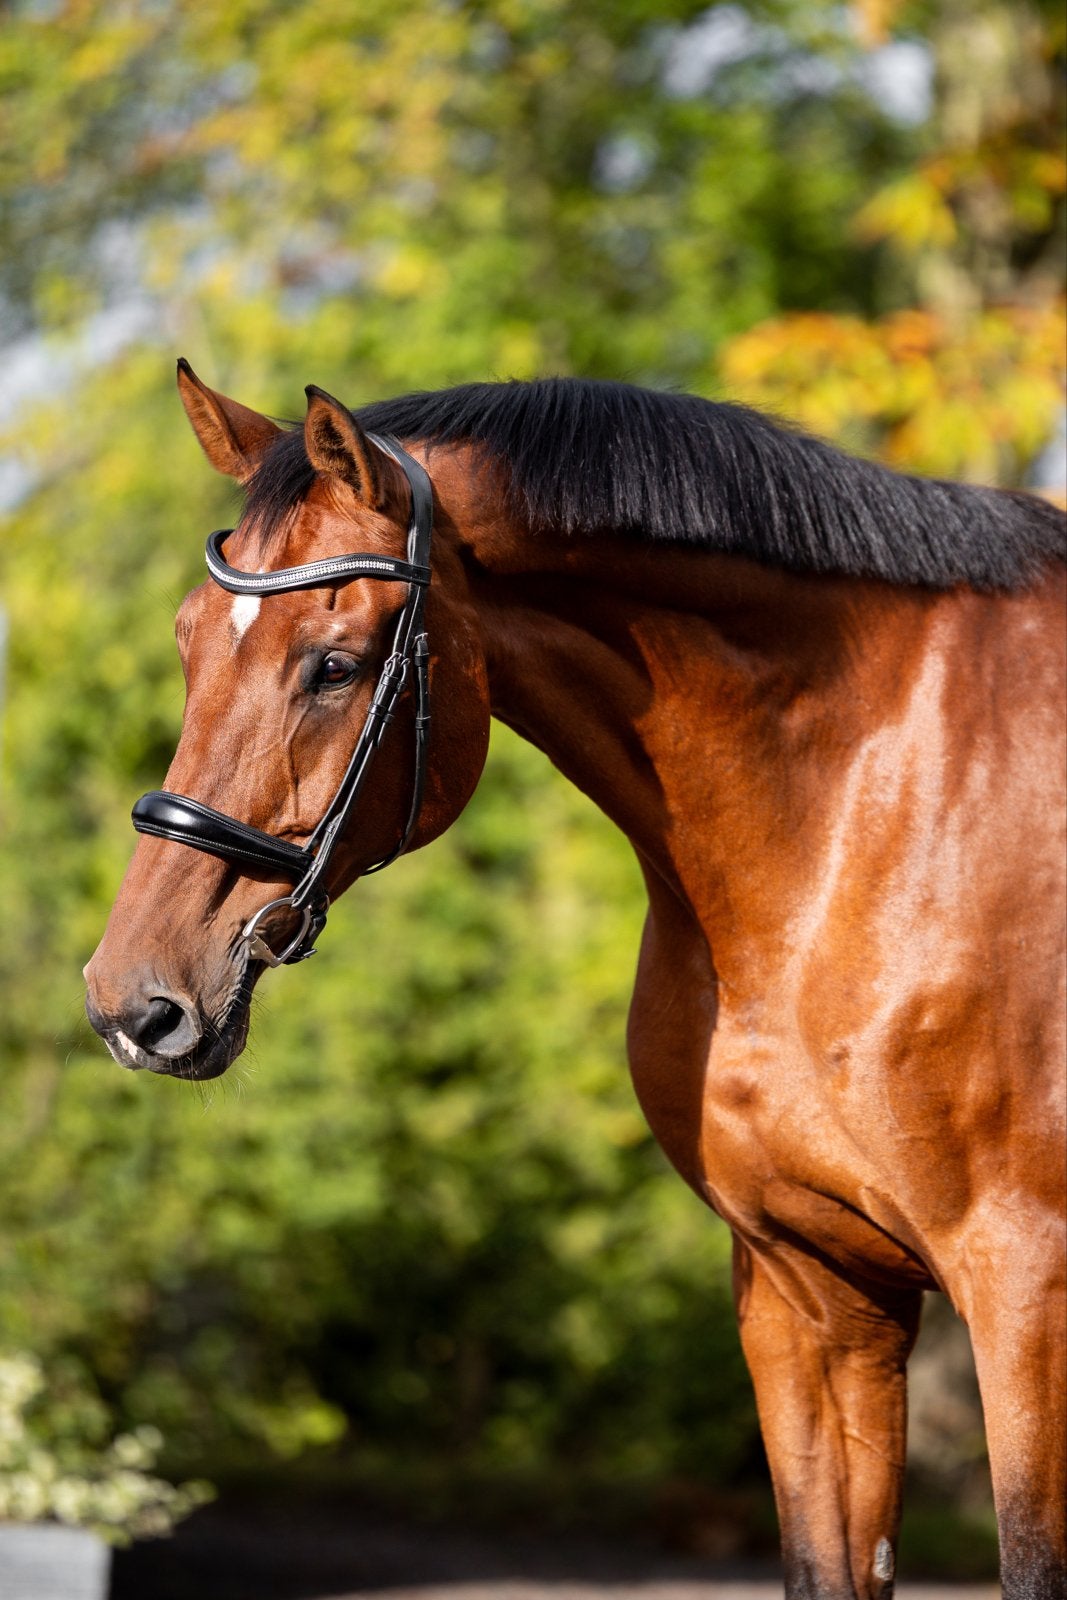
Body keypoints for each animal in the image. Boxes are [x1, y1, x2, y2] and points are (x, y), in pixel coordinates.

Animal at [85, 361, 1066, 1599]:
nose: (133, 1000)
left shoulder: (1024, 1293)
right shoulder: (807, 1292)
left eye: (334, 665)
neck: (862, 802)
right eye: (186, 643)